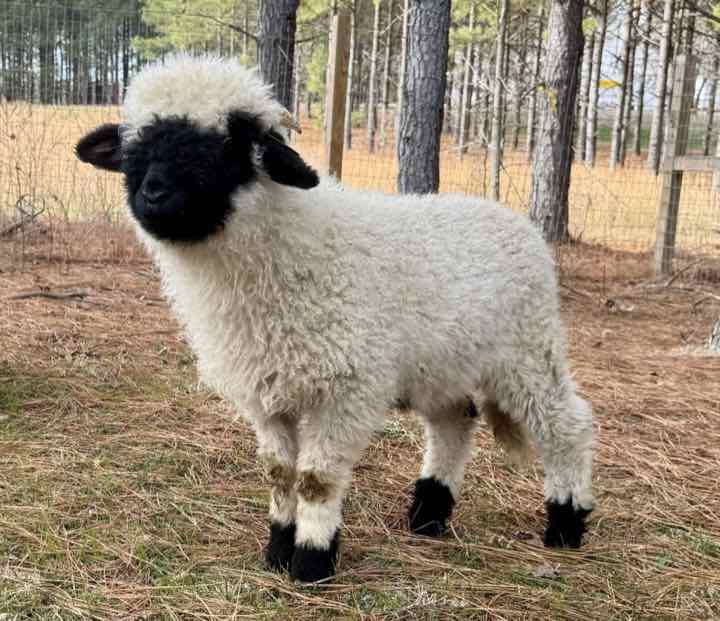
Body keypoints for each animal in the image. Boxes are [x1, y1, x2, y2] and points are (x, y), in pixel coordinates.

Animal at [75, 54, 594, 583]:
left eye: (230, 145)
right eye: (134, 146)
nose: (154, 195)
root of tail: (514, 221)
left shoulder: (347, 390)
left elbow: (316, 480)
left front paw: (312, 559)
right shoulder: (266, 394)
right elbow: (279, 473)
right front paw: (277, 547)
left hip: (529, 350)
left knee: (565, 426)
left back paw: (566, 522)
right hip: (443, 364)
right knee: (454, 422)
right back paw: (429, 515)